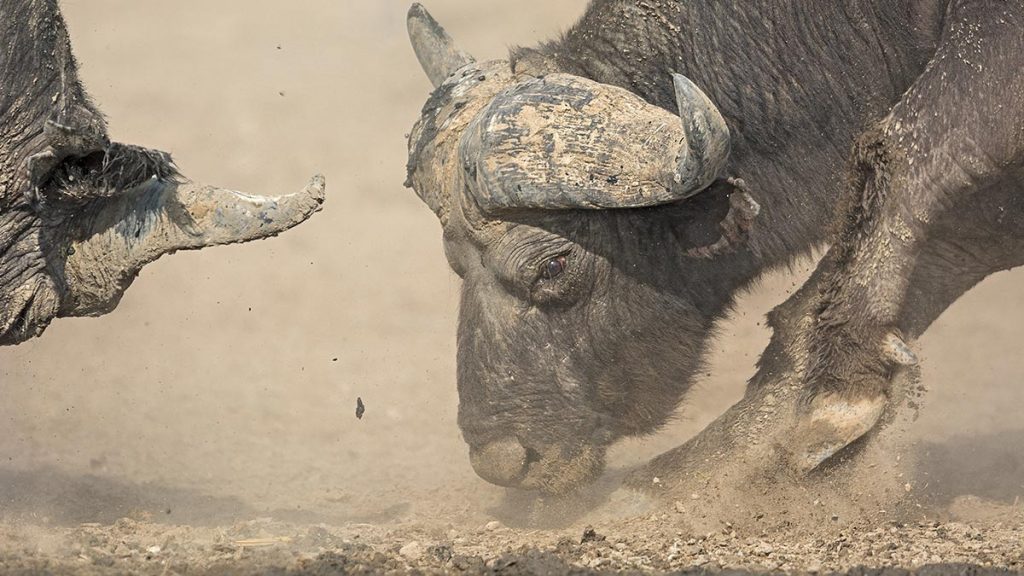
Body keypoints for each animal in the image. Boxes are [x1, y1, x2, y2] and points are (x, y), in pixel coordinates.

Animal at [404, 0, 1024, 496]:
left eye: (553, 264)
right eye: (455, 265)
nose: (502, 461)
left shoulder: (988, 56)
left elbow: (907, 149)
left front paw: (833, 396)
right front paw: (705, 465)